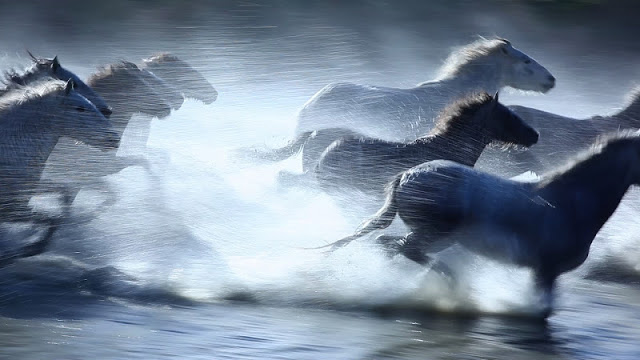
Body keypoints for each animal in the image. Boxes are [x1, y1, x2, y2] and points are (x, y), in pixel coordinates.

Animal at [318, 131, 640, 316]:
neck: (570, 203)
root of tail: (406, 175)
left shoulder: (543, 272)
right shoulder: (545, 271)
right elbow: (543, 311)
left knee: (391, 247)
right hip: (436, 235)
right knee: (398, 248)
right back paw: (449, 285)